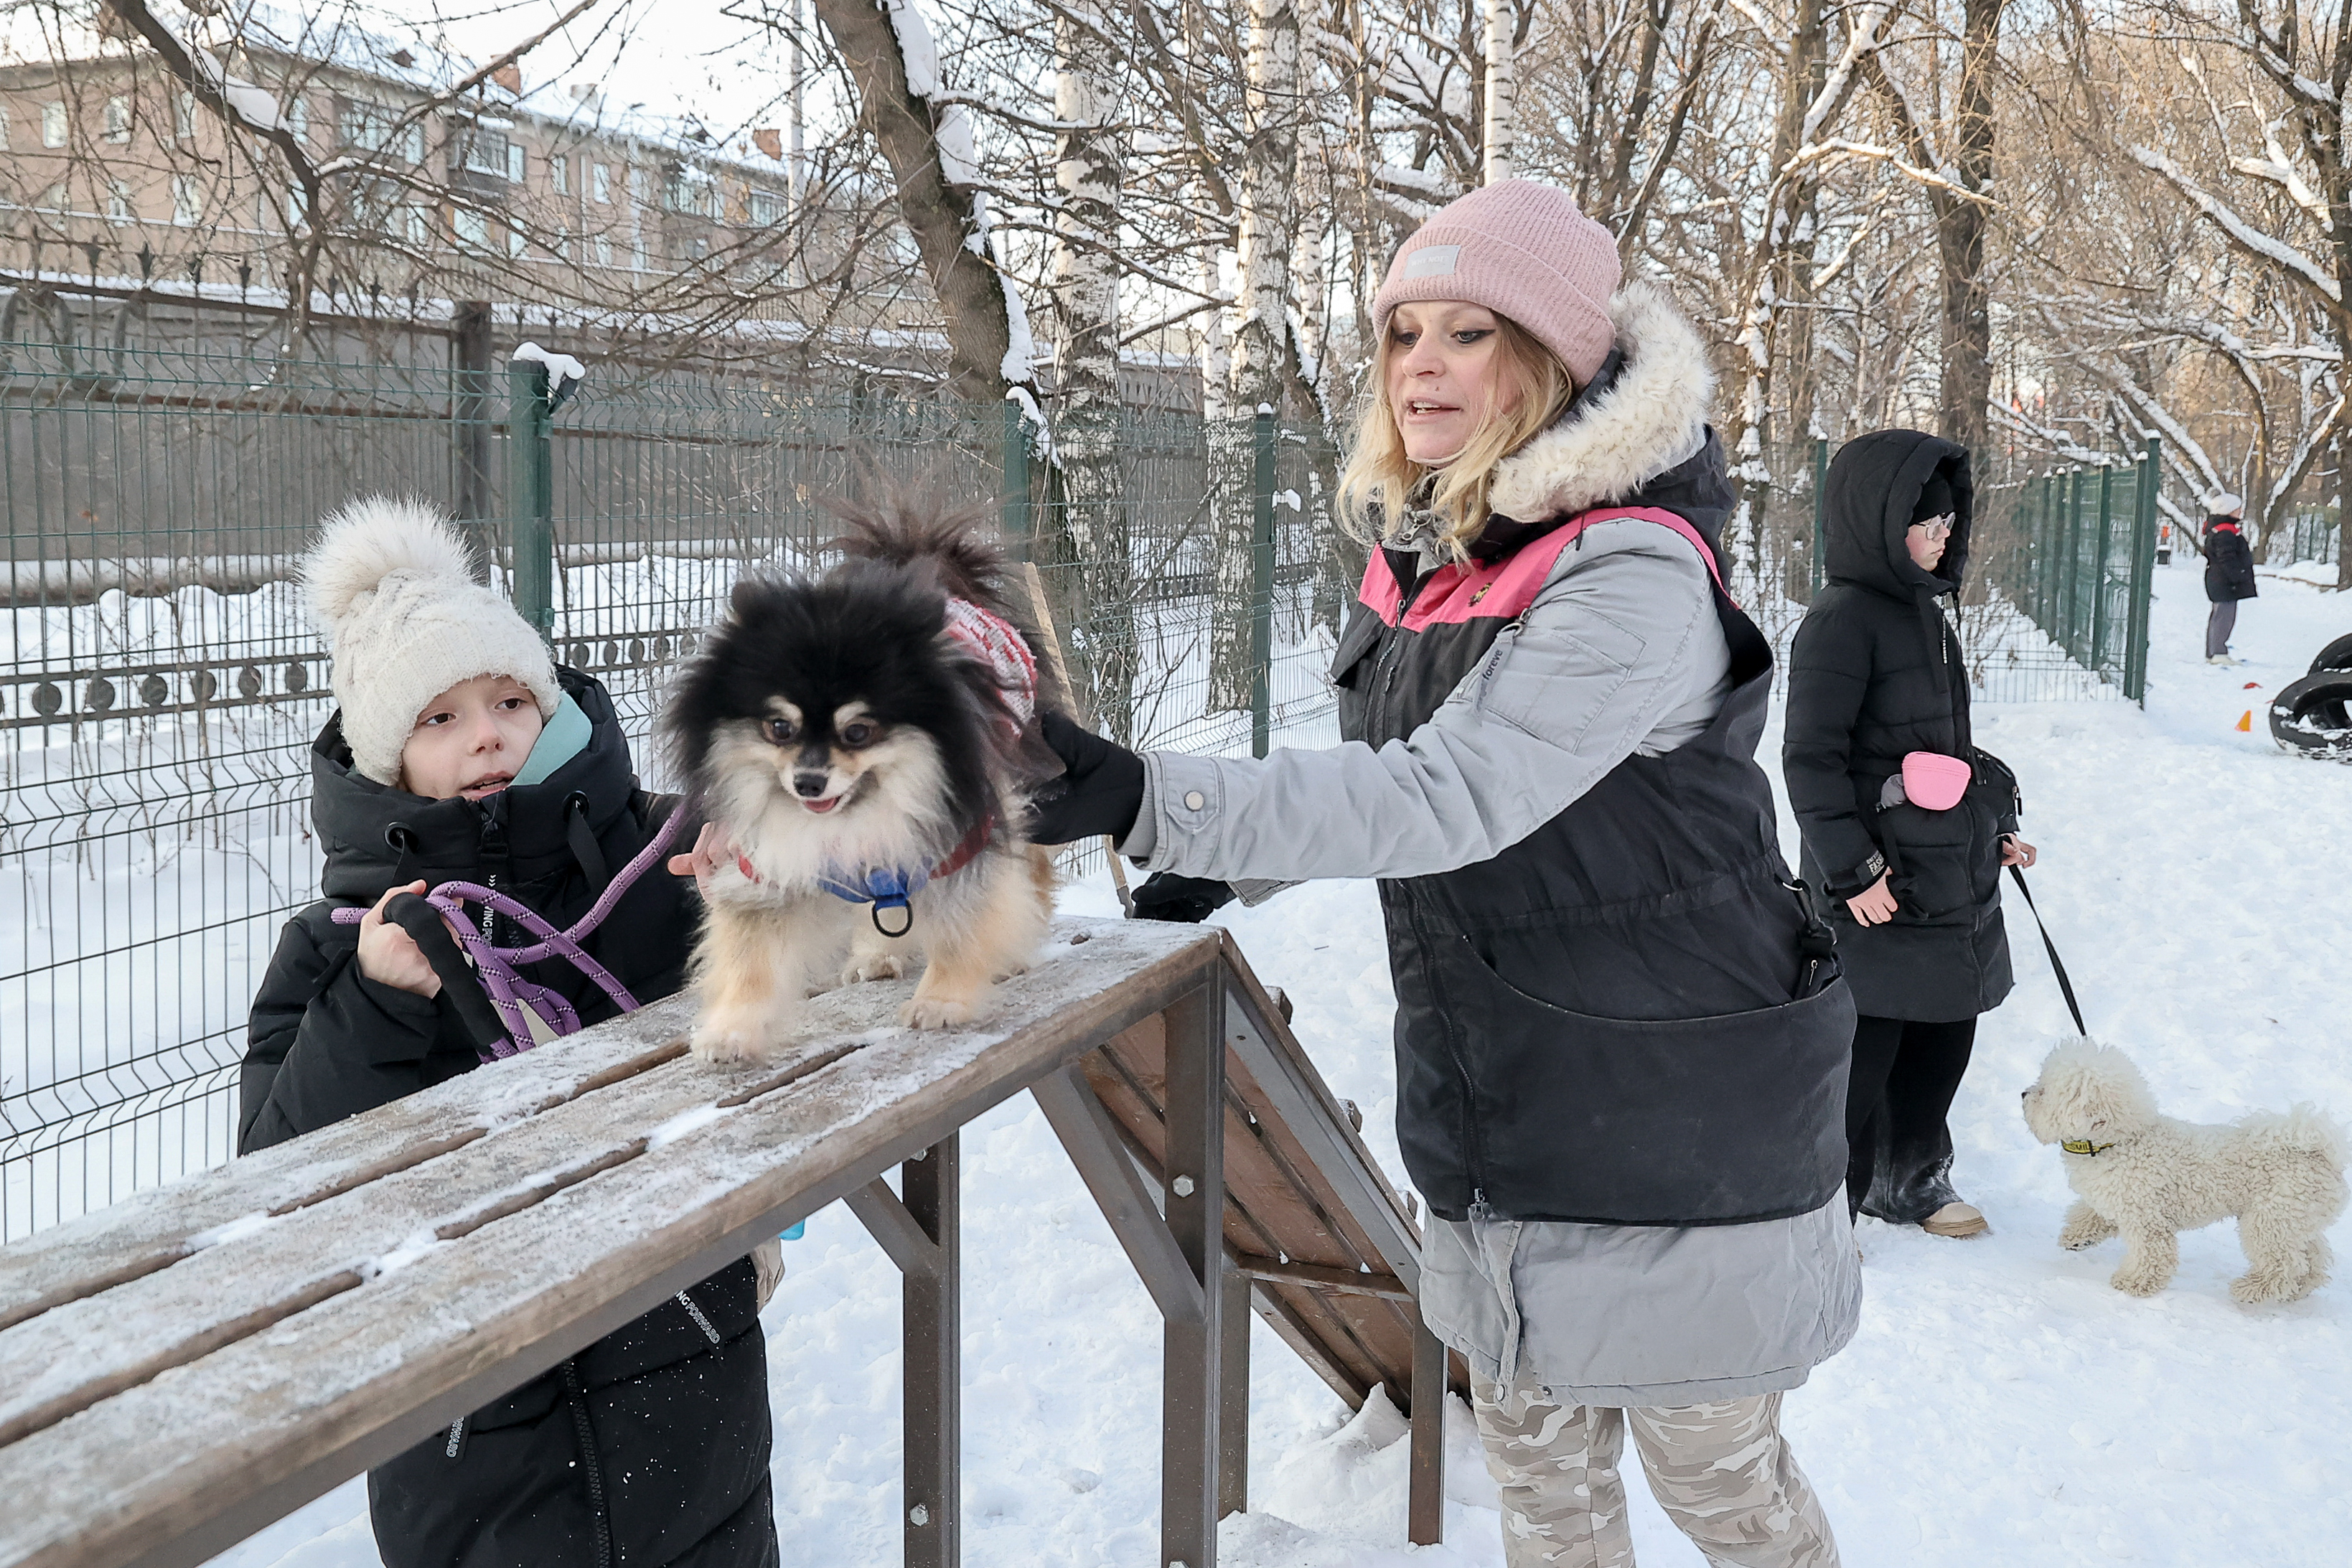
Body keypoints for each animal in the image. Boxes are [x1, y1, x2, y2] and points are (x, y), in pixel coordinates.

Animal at [667, 503, 1063, 1067]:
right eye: (779, 727)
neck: (862, 807)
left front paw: (942, 999)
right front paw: (731, 1031)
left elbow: (963, 920)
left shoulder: (965, 832)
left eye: (858, 731)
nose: (808, 782)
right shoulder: (763, 861)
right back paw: (877, 955)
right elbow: (751, 955)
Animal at [2013, 1043, 2342, 1316]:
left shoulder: (2147, 1220)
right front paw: (2077, 1237)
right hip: (2293, 1222)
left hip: (2269, 1219)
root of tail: (2321, 1154)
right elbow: (2090, 1214)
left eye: (2044, 1092)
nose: (2023, 1094)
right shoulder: (2115, 1199)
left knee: (2284, 1265)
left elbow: (2152, 1256)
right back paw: (2296, 1290)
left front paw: (2133, 1283)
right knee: (2311, 1261)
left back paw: (2250, 1289)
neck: (2119, 1142)